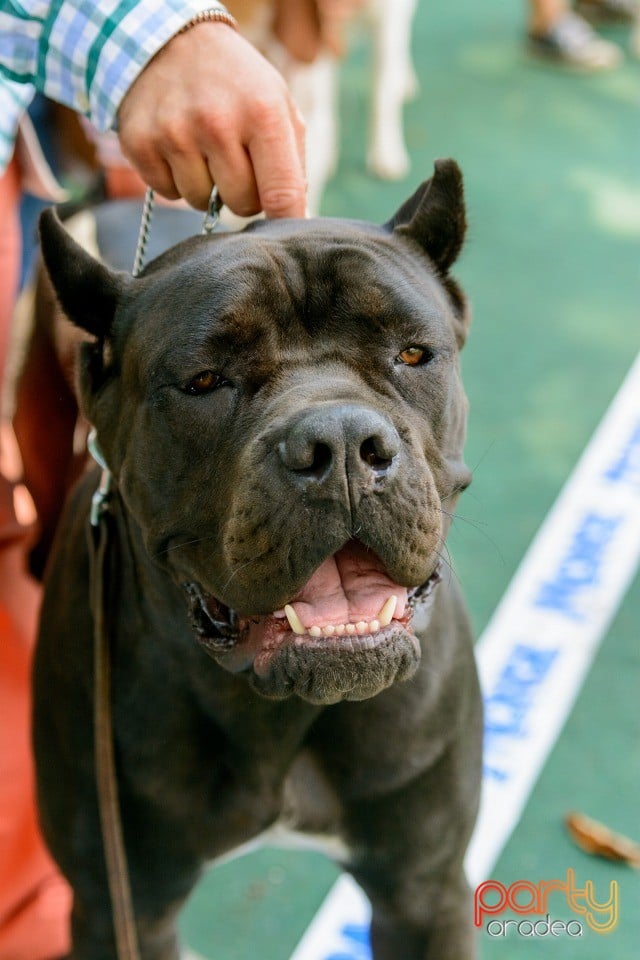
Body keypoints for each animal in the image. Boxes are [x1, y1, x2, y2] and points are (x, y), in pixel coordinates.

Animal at [32, 161, 482, 956]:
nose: (340, 443)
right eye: (205, 381)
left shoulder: (424, 893)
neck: (274, 715)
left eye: (411, 353)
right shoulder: (121, 907)